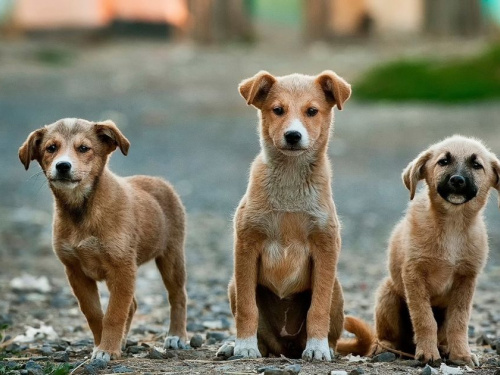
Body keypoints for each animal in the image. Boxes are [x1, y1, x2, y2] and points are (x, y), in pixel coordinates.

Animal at [18, 119, 188, 362]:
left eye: (83, 148)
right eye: (51, 148)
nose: (63, 166)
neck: (82, 211)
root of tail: (159, 181)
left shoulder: (122, 267)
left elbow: (114, 313)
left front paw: (107, 349)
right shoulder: (76, 271)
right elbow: (95, 313)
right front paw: (103, 345)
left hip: (171, 256)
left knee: (178, 296)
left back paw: (176, 336)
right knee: (133, 305)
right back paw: (124, 341)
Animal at [217, 70, 374, 362]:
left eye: (312, 111)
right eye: (278, 110)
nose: (292, 135)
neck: (290, 182)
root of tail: (286, 347)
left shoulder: (326, 247)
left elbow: (318, 309)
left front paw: (317, 347)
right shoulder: (246, 245)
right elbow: (247, 307)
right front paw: (244, 345)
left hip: (337, 289)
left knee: (331, 328)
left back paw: (325, 347)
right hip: (234, 284)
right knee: (261, 335)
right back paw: (237, 345)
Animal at [376, 136, 500, 368]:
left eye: (476, 165)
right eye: (443, 161)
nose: (457, 180)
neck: (453, 225)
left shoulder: (466, 279)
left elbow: (459, 322)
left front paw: (461, 354)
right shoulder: (413, 274)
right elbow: (424, 319)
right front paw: (427, 353)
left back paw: (444, 348)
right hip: (388, 294)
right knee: (387, 336)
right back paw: (385, 348)